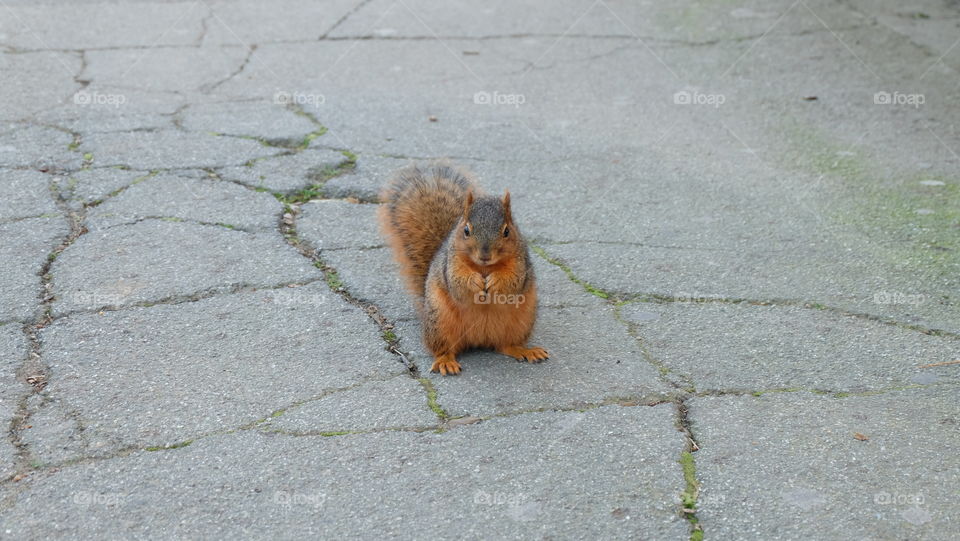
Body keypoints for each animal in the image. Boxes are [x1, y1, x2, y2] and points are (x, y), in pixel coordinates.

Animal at [380, 162, 552, 374]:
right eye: (466, 230)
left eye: (506, 231)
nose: (485, 255)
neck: (485, 268)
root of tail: (480, 338)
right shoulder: (451, 263)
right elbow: (457, 282)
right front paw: (475, 282)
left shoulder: (521, 263)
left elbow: (514, 280)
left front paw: (496, 281)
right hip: (440, 320)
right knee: (444, 348)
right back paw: (445, 361)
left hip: (522, 321)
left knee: (506, 345)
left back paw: (525, 351)